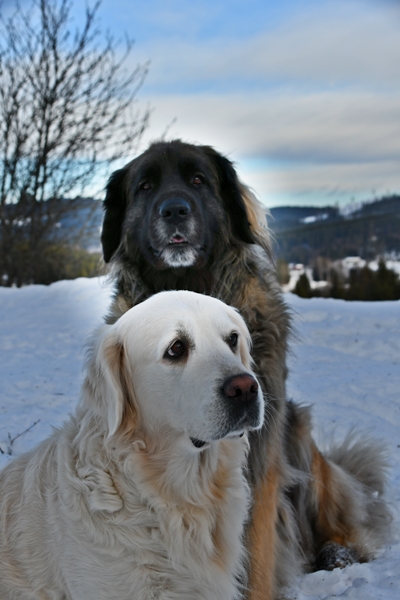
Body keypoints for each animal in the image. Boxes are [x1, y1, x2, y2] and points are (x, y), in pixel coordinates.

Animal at [101, 138, 390, 596]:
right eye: (145, 186)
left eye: (198, 180)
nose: (174, 210)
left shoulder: (260, 454)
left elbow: (255, 551)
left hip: (298, 433)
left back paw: (337, 552)